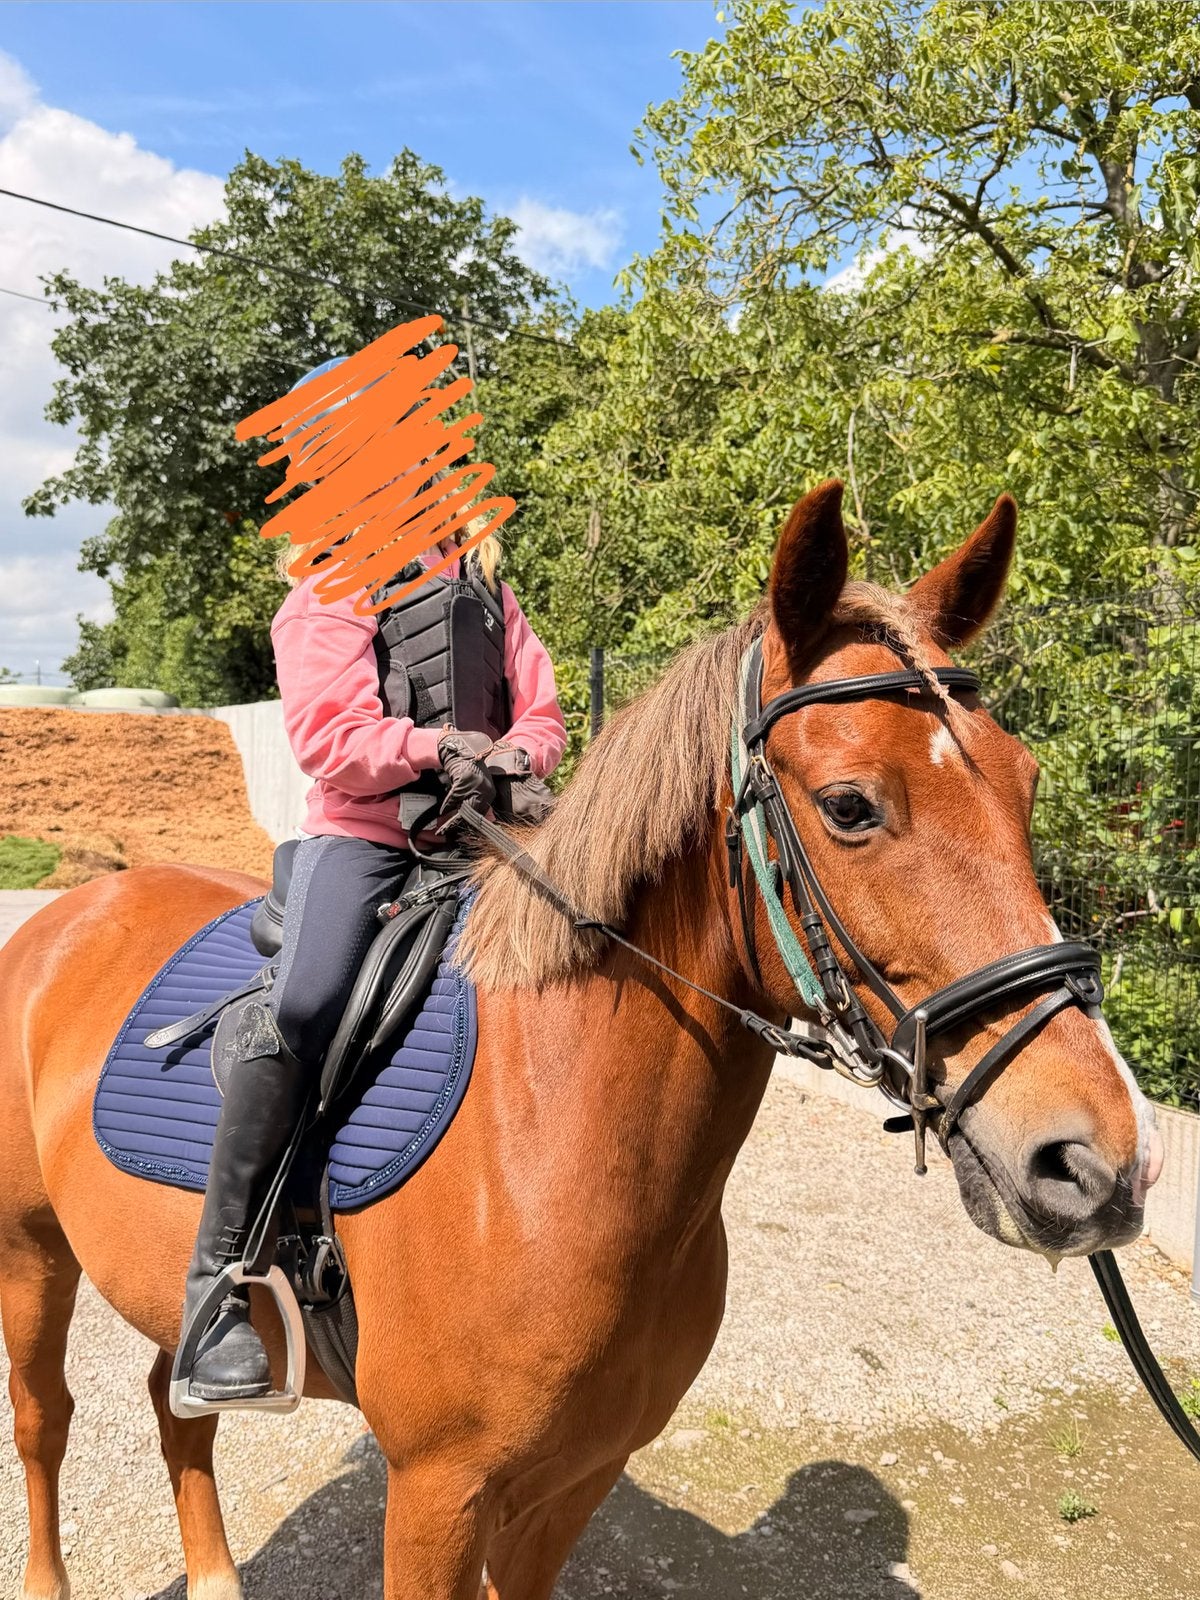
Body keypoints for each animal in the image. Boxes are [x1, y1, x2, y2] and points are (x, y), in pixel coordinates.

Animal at [0, 480, 1161, 1600]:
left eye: (1026, 783)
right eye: (849, 805)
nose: (1100, 1161)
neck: (547, 1139)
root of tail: (72, 913)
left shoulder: (577, 1479)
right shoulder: (435, 1495)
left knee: (171, 1400)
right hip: (31, 1255)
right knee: (46, 1417)